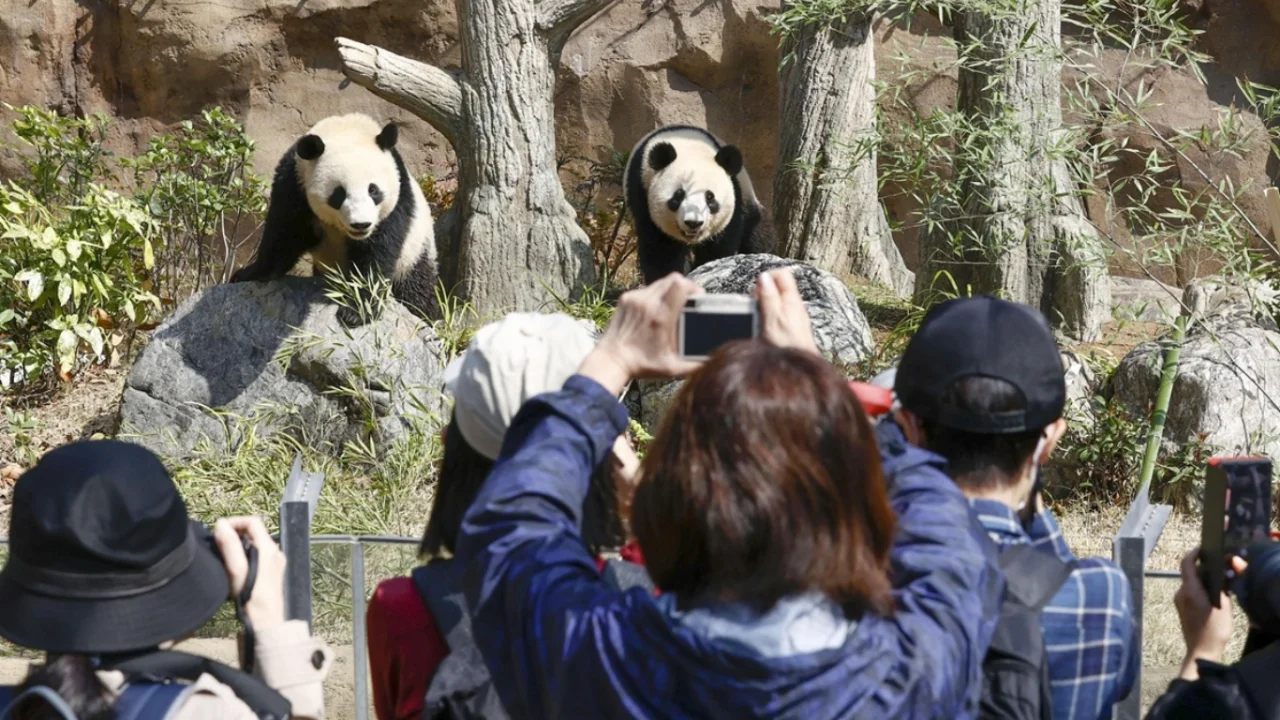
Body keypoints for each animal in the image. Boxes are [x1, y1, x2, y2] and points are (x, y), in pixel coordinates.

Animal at [230, 113, 438, 326]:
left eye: (373, 190)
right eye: (339, 194)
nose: (361, 225)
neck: (348, 128)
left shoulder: (397, 200)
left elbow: (378, 252)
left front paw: (356, 311)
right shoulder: (295, 182)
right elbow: (284, 233)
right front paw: (248, 274)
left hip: (413, 253)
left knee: (416, 290)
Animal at [623, 125, 776, 285]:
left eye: (710, 197)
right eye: (678, 196)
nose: (693, 223)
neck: (687, 144)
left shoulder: (735, 193)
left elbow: (720, 242)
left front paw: (705, 267)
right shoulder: (642, 193)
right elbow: (661, 249)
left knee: (758, 233)